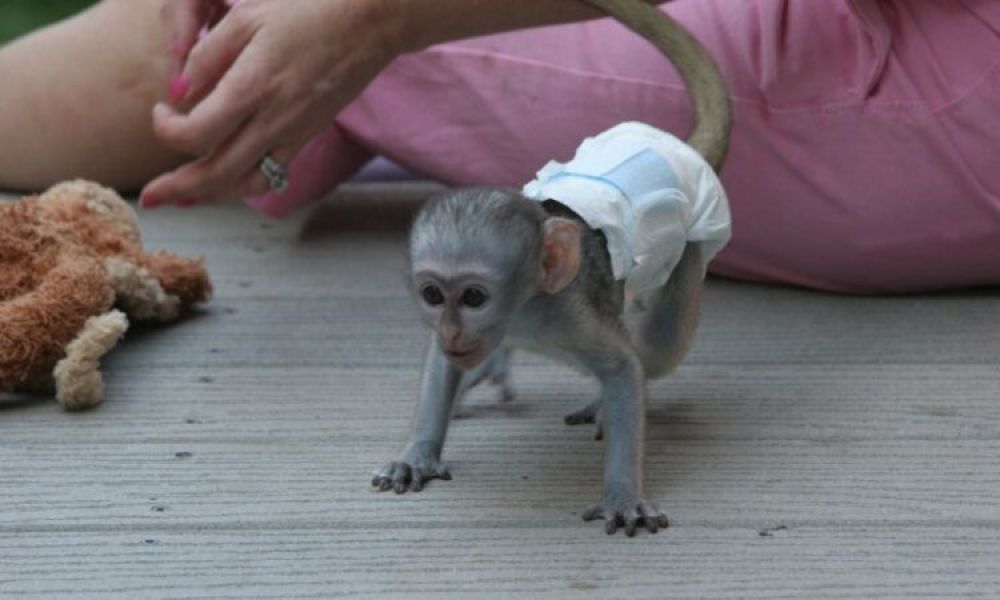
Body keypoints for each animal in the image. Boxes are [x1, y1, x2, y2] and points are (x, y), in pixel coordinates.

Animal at [371, 0, 732, 537]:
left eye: (474, 297)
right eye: (434, 295)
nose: (453, 329)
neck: (522, 311)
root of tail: (675, 149)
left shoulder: (569, 313)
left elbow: (624, 369)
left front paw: (623, 495)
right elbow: (441, 361)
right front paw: (418, 453)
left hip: (691, 244)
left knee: (662, 345)